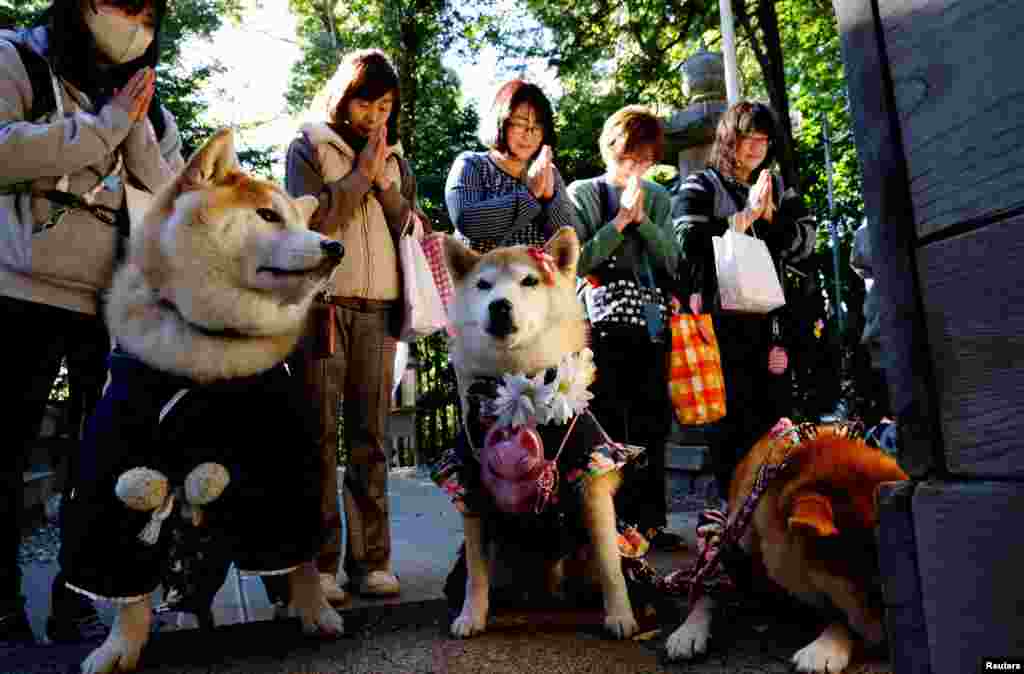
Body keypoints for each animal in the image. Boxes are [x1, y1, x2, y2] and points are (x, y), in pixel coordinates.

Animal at [442, 227, 638, 639]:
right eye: (483, 285)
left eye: (529, 281)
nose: (499, 305)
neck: (519, 390)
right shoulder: (469, 484)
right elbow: (476, 572)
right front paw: (471, 615)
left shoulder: (592, 478)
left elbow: (610, 565)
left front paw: (620, 615)